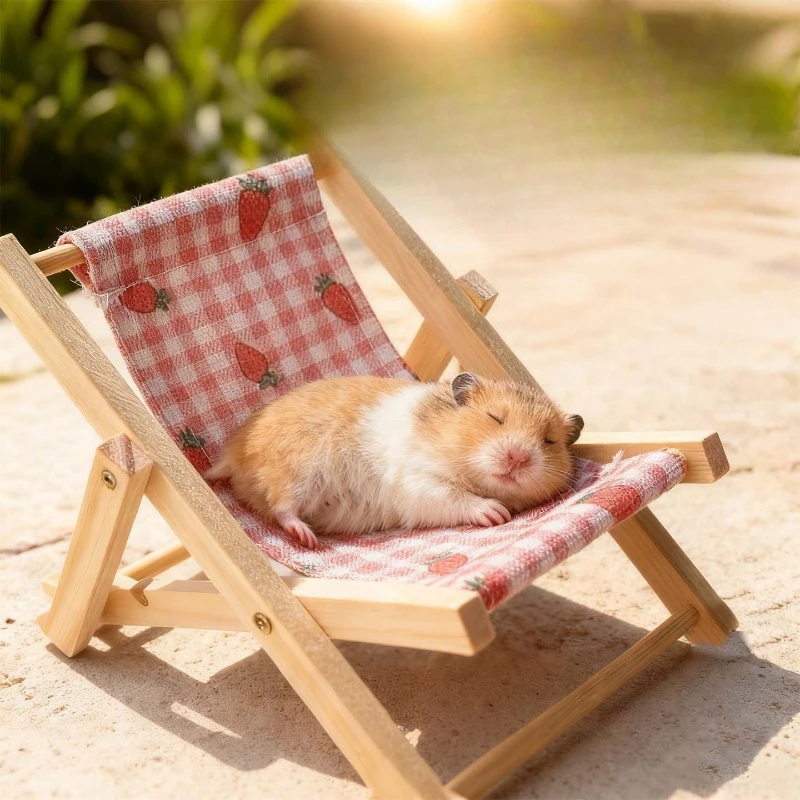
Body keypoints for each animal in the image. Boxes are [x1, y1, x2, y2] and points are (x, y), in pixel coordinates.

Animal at [205, 373, 584, 549]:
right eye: (496, 418)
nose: (518, 458)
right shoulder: (419, 483)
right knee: (283, 508)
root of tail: (233, 455)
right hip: (297, 474)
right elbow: (456, 498)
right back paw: (308, 539)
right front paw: (497, 513)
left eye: (548, 440)